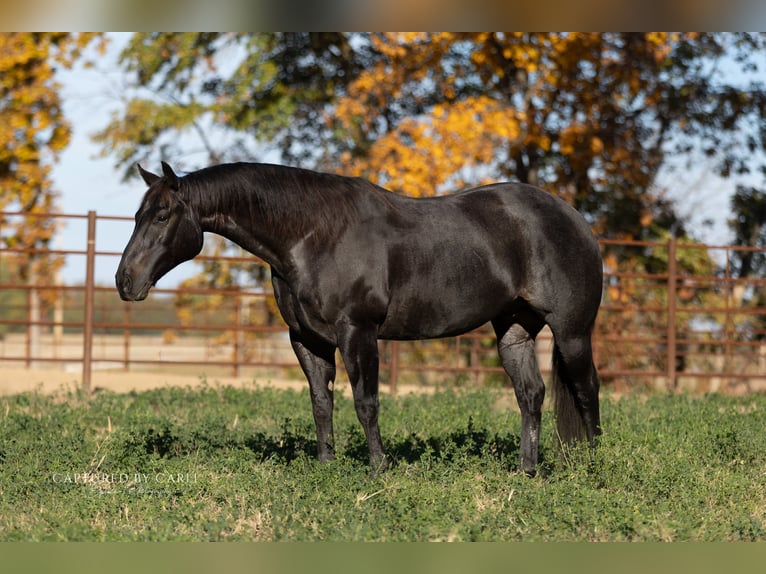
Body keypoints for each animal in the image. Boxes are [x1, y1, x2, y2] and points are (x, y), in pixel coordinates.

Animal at [116, 161, 603, 476]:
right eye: (137, 215)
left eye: (162, 215)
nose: (125, 280)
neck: (312, 235)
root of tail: (575, 219)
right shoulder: (306, 340)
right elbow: (321, 403)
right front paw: (326, 467)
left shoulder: (358, 333)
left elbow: (366, 403)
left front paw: (378, 470)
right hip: (514, 330)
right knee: (531, 394)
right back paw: (526, 472)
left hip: (573, 332)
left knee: (586, 389)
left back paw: (593, 467)